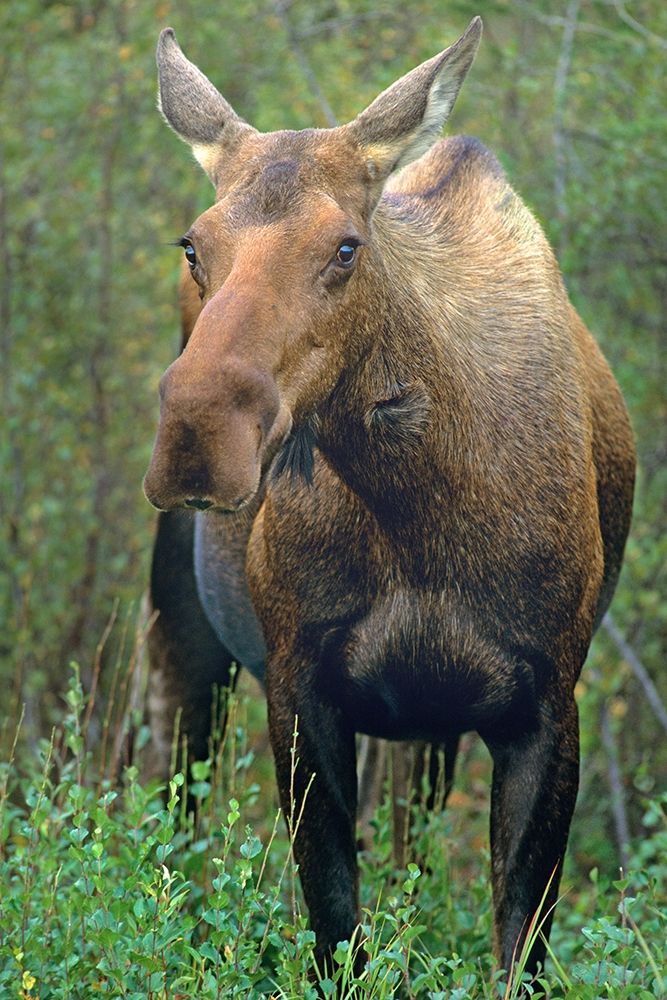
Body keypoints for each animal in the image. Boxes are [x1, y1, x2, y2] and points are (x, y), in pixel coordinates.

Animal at [143, 17, 635, 977]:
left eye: (345, 245)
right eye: (193, 245)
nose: (197, 437)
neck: (420, 504)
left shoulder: (545, 702)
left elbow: (516, 942)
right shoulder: (300, 688)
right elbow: (338, 927)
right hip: (186, 643)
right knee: (174, 831)